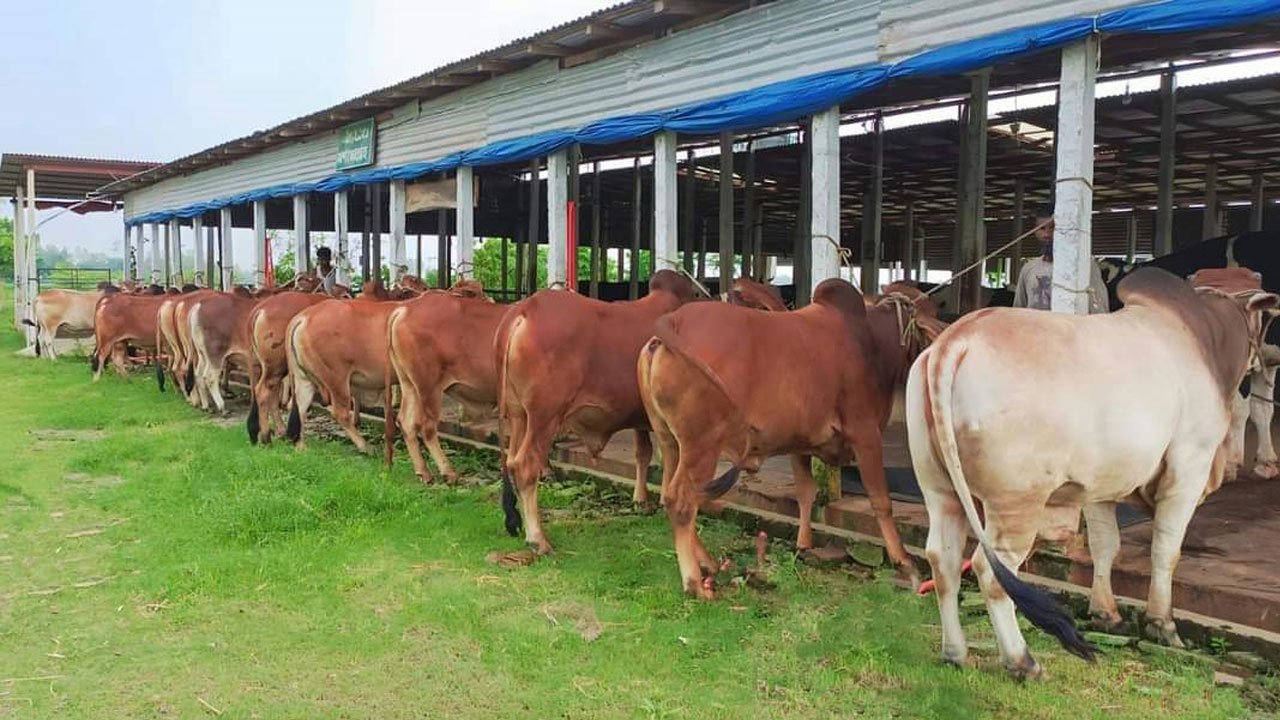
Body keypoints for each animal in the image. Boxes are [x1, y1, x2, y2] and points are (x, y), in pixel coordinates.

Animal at [383, 280, 499, 483]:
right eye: (471, 293)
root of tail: (405, 309)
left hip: (409, 383)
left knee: (406, 422)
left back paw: (424, 472)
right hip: (429, 386)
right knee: (427, 427)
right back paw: (448, 472)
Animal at [495, 269, 699, 555]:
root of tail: (526, 308)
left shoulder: (642, 417)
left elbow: (644, 453)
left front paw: (642, 500)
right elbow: (670, 457)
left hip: (518, 414)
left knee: (512, 461)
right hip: (544, 416)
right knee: (526, 465)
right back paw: (538, 538)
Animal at [637, 278, 945, 598]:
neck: (872, 341)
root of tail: (672, 324)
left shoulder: (801, 442)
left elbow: (806, 492)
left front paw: (803, 544)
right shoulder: (865, 433)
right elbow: (881, 501)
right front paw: (905, 563)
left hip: (670, 442)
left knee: (669, 494)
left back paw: (707, 563)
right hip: (702, 445)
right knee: (681, 500)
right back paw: (695, 583)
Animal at [904, 266, 1277, 679]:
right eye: (1265, 318)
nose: (1266, 360)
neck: (1204, 337)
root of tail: (955, 340)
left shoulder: (1102, 485)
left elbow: (1105, 546)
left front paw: (1105, 613)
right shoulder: (1188, 471)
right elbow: (1166, 551)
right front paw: (1163, 624)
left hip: (940, 491)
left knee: (944, 561)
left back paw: (955, 652)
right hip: (1016, 502)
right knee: (991, 571)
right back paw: (1022, 661)